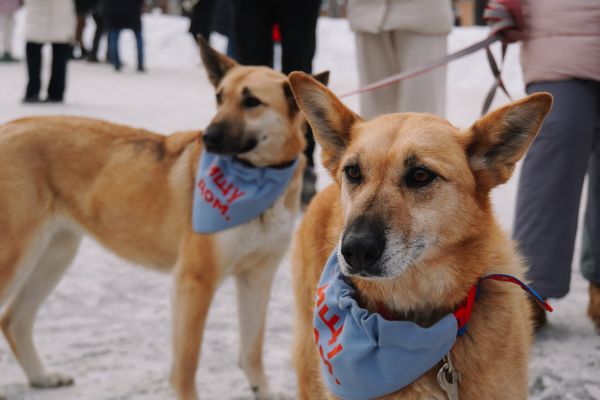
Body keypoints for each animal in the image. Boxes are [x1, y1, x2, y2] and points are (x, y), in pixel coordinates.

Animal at [0, 40, 328, 400]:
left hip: (55, 254)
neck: (256, 179)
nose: (207, 137)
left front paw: (263, 391)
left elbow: (252, 349)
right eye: (219, 97)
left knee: (14, 320)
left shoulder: (257, 277)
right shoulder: (194, 281)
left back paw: (42, 377)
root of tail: (7, 127)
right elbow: (187, 365)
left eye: (252, 101)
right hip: (17, 257)